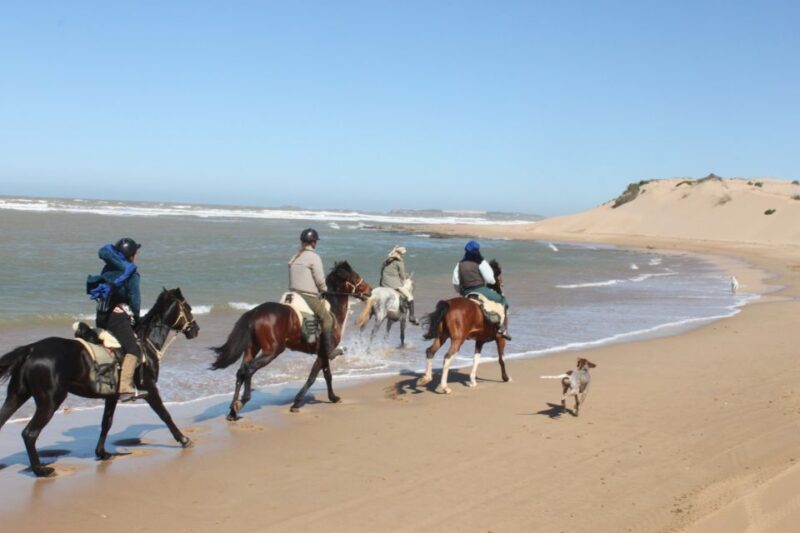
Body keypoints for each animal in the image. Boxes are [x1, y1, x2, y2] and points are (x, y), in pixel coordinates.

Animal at [0, 288, 199, 477]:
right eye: (188, 308)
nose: (195, 329)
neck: (145, 342)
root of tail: (31, 349)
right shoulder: (149, 388)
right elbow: (164, 414)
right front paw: (183, 439)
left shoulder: (112, 396)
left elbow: (106, 423)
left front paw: (102, 453)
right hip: (49, 401)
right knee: (30, 434)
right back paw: (41, 470)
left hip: (17, 395)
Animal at [211, 261, 372, 420]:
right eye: (355, 277)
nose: (369, 290)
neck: (331, 311)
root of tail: (255, 312)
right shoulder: (324, 352)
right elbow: (316, 376)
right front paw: (299, 402)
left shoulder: (323, 353)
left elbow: (326, 375)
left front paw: (332, 397)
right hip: (272, 351)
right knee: (249, 369)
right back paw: (242, 401)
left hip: (252, 348)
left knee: (241, 372)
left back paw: (232, 411)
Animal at [419, 260, 511, 394]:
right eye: (498, 274)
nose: (502, 284)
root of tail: (449, 304)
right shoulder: (500, 338)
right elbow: (501, 359)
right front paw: (506, 378)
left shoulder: (480, 340)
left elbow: (476, 359)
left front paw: (472, 381)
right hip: (457, 339)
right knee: (447, 357)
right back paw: (444, 387)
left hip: (442, 336)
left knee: (430, 351)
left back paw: (426, 378)